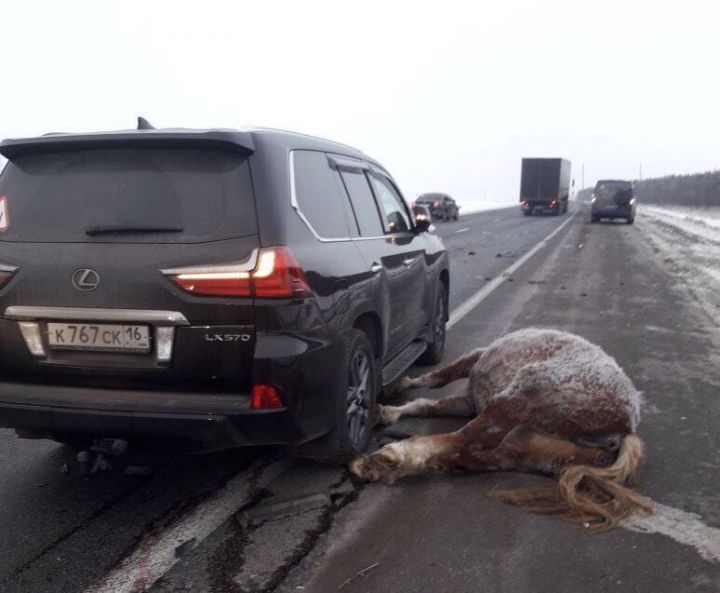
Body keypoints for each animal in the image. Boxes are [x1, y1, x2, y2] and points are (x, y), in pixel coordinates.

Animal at [348, 328, 652, 532]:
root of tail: (626, 425)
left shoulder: (472, 362)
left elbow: (436, 379)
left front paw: (394, 396)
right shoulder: (469, 402)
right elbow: (429, 404)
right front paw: (389, 411)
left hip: (523, 393)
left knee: (464, 440)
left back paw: (384, 459)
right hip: (528, 449)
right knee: (471, 457)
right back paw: (388, 465)